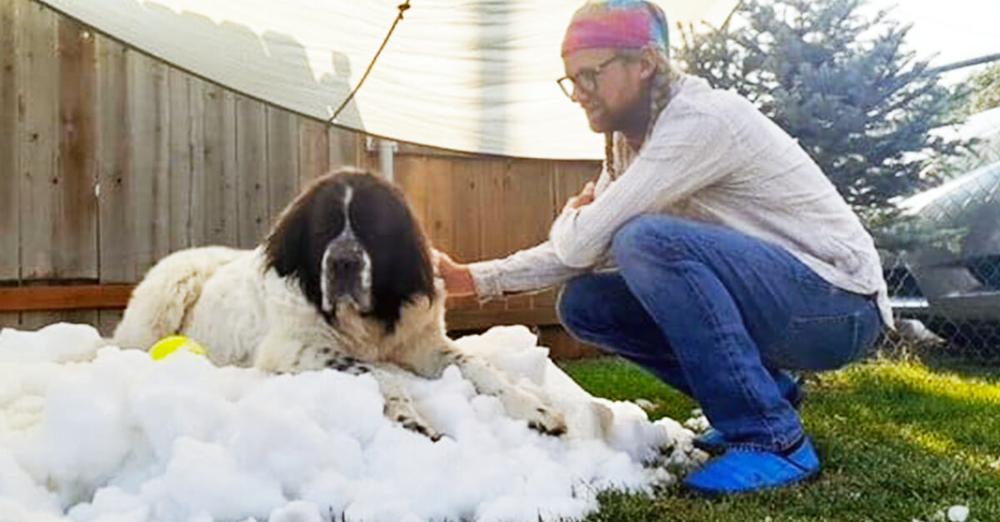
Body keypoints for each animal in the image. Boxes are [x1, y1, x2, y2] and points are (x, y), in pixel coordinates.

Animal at [113, 165, 568, 436]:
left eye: (375, 230)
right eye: (322, 230)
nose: (343, 263)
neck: (366, 319)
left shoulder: (423, 342)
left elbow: (479, 366)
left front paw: (535, 409)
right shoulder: (297, 349)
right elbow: (379, 373)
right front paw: (410, 417)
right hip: (167, 291)